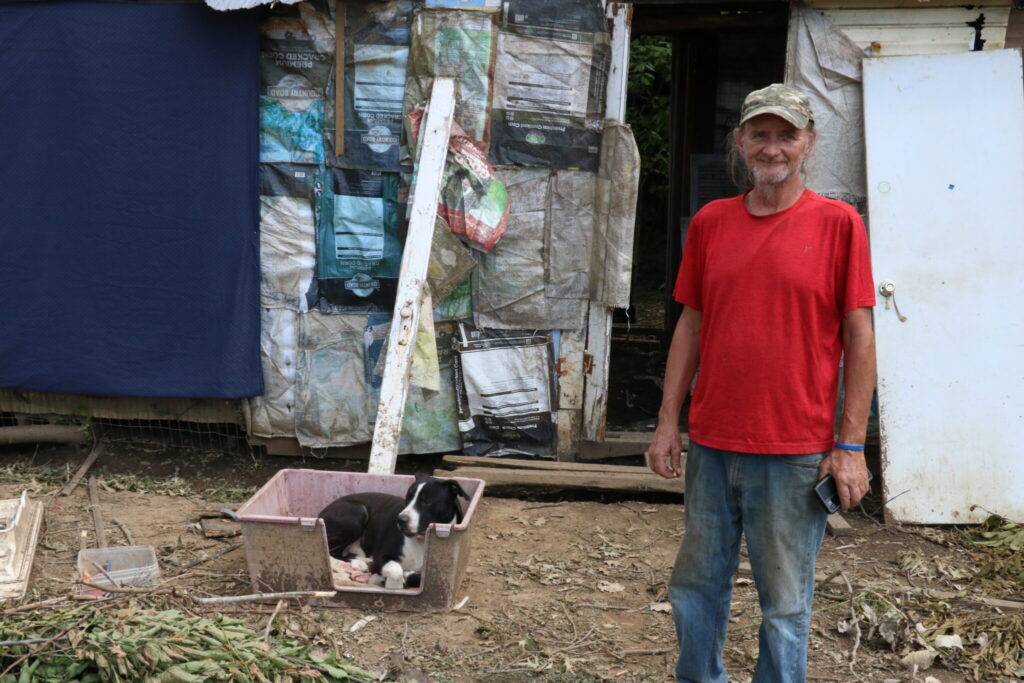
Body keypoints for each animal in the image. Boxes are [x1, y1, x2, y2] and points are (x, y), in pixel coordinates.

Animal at [317, 475, 468, 589]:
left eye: (427, 501)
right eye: (407, 498)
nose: (401, 519)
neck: (421, 540)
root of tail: (321, 513)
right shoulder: (382, 556)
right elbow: (396, 570)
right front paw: (394, 585)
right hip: (357, 513)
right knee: (331, 551)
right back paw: (359, 563)